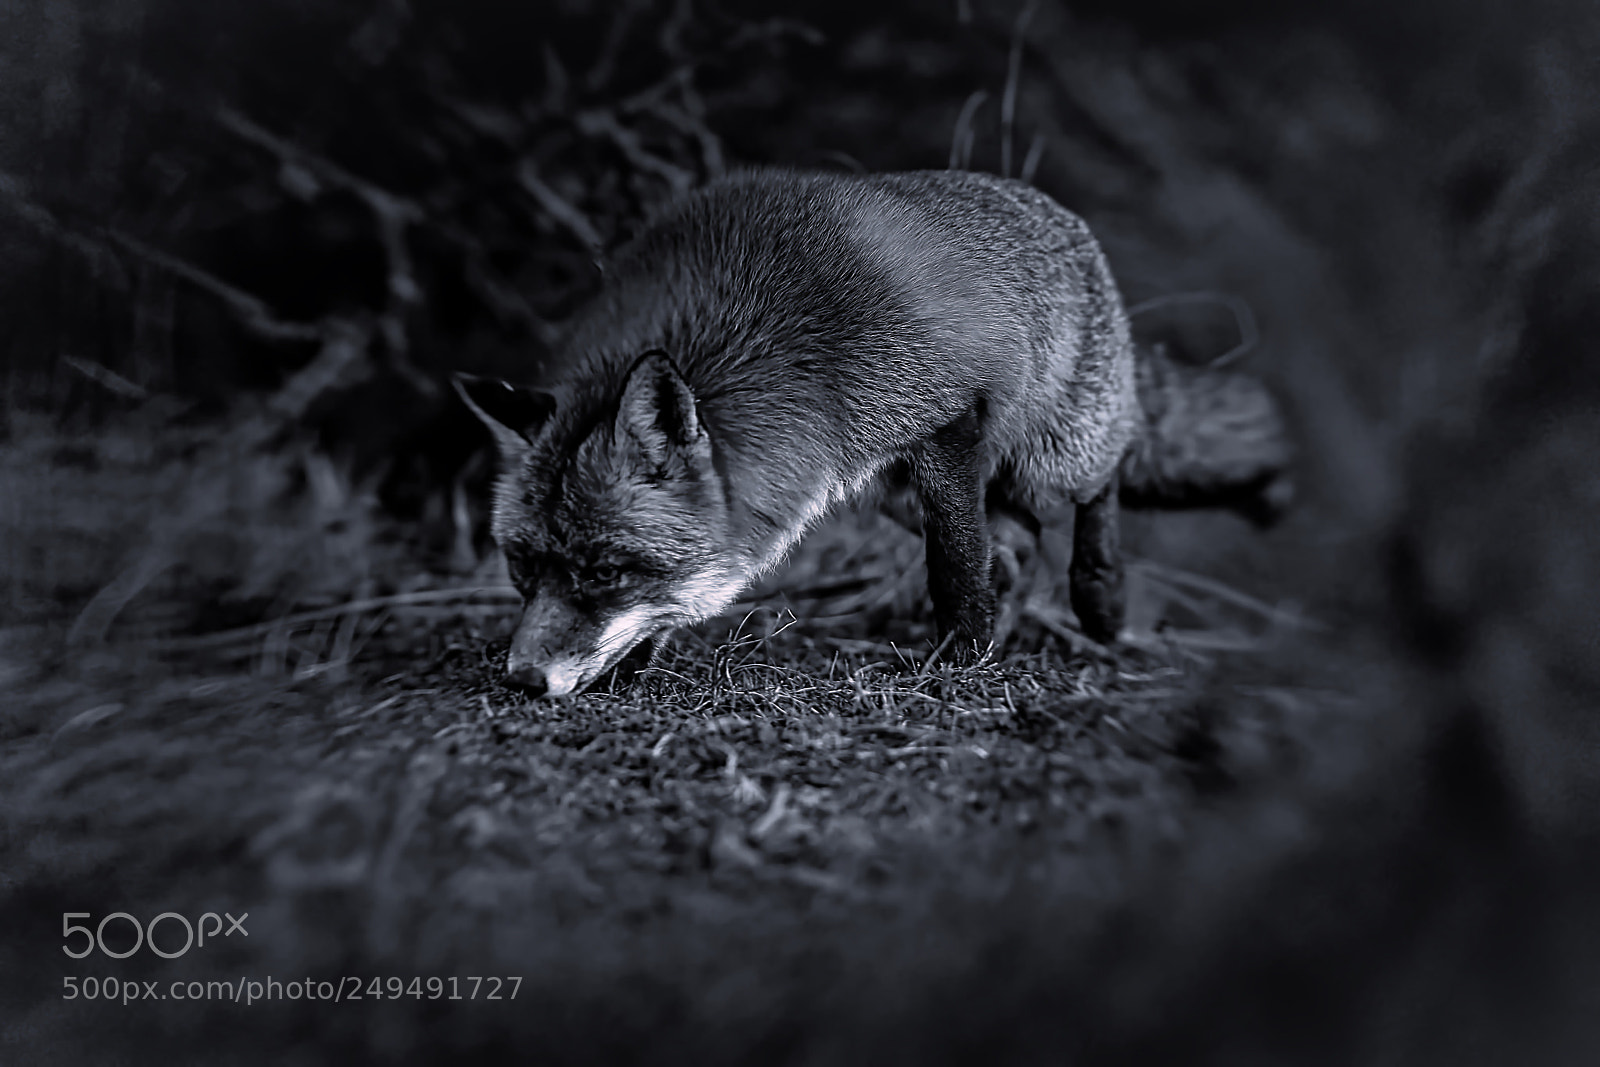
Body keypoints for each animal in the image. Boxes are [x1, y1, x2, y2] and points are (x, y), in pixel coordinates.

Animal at [456, 167, 1291, 698]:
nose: (522, 680)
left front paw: (960, 660)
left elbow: (956, 563)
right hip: (890, 489)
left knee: (1099, 484)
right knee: (1019, 544)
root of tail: (1056, 208)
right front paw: (633, 660)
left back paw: (1101, 600)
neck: (761, 341)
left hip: (1049, 454)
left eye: (604, 572)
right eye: (522, 566)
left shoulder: (949, 418)